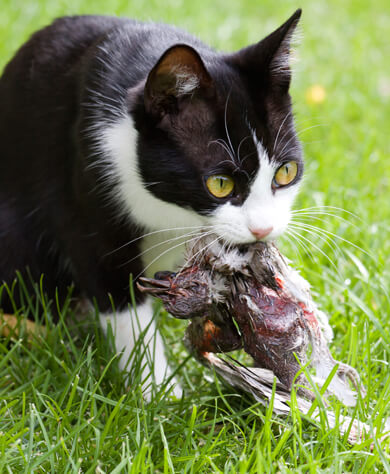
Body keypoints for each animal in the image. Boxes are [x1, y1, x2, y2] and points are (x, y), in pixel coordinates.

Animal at [0, 9, 304, 398]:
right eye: (220, 184)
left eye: (286, 171)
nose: (262, 228)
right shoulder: (82, 181)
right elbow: (117, 293)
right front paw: (159, 393)